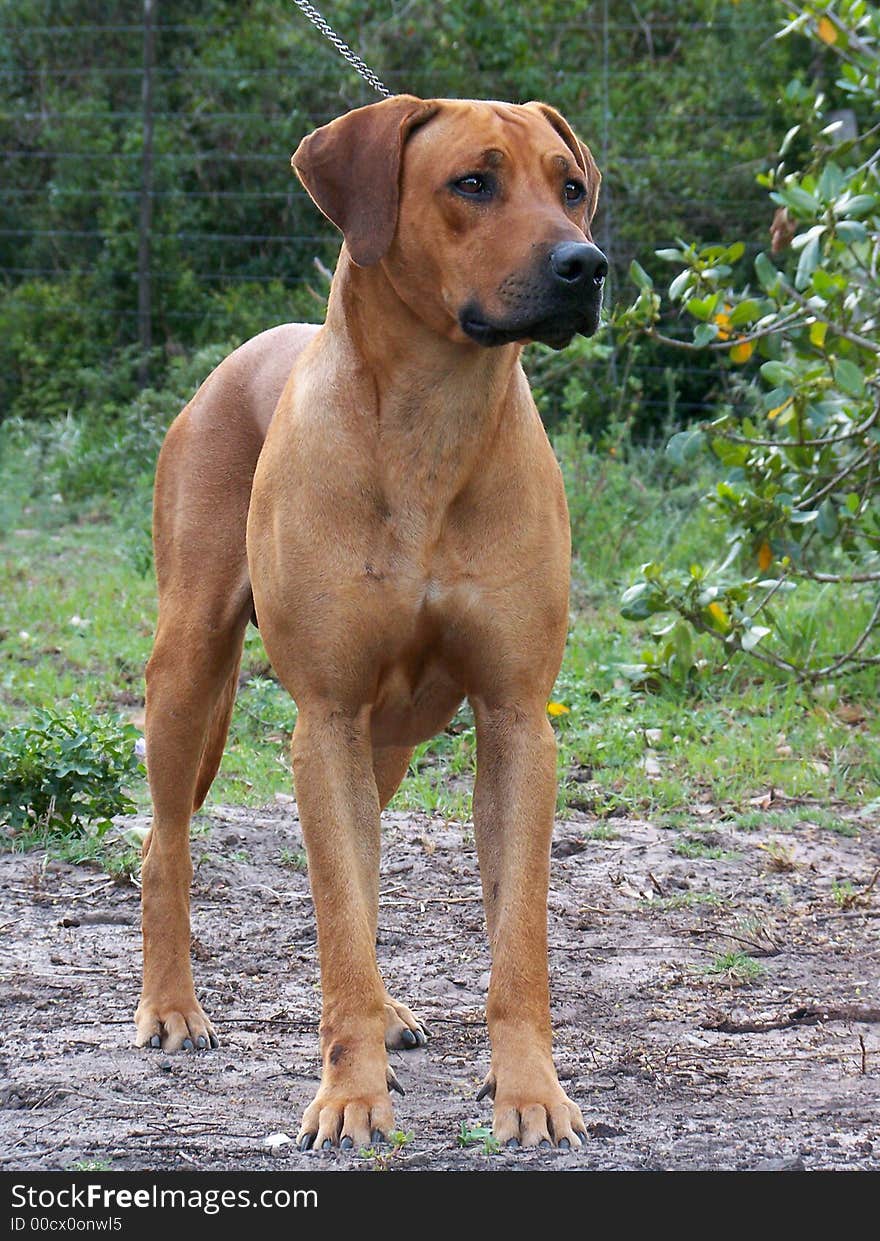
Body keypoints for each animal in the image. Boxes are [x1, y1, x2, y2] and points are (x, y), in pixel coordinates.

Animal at [137, 91, 603, 1146]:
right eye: (472, 182)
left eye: (570, 186)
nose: (586, 265)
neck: (435, 419)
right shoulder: (326, 719)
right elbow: (338, 923)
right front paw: (350, 1097)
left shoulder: (517, 718)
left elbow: (516, 935)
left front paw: (530, 1091)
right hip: (193, 667)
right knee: (164, 844)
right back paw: (172, 1006)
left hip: (386, 738)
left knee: (370, 854)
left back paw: (389, 1011)